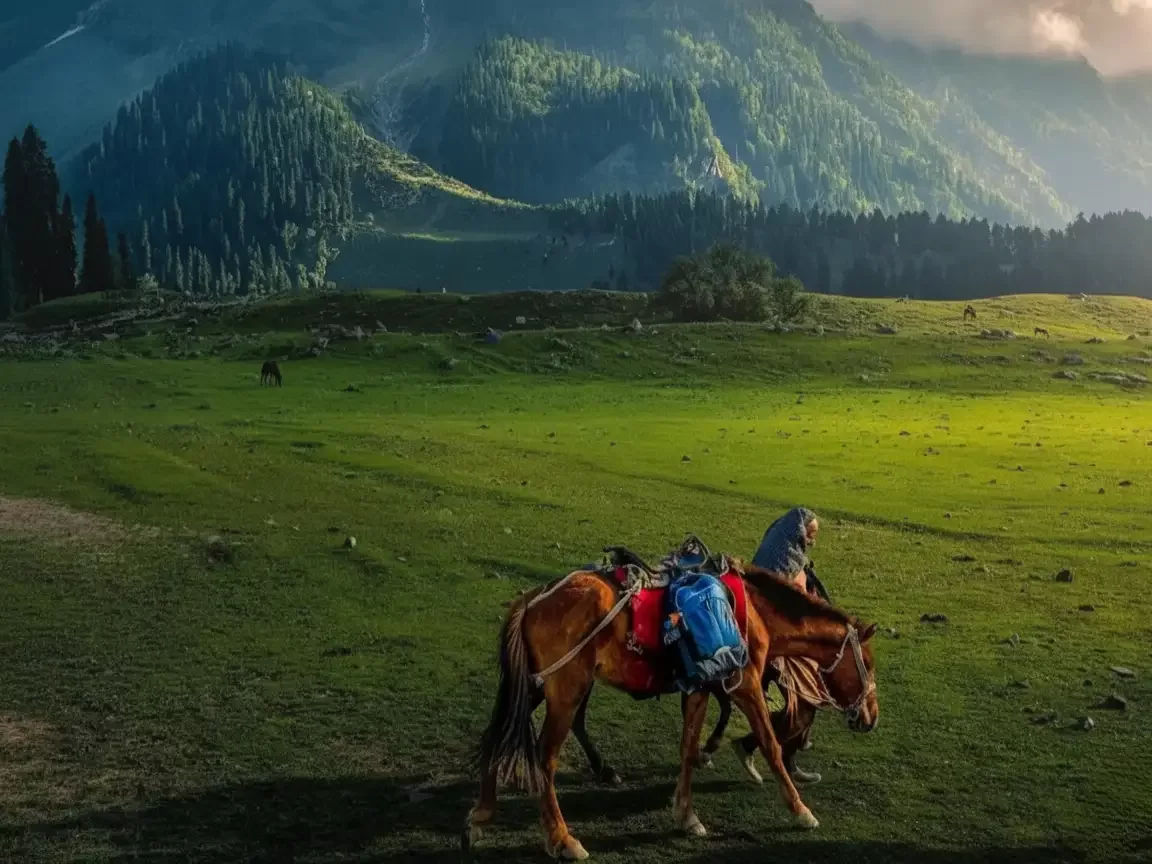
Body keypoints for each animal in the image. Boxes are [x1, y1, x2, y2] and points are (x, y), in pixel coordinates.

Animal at [464, 559, 879, 860]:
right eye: (870, 665)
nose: (871, 716)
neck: (755, 613)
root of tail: (534, 598)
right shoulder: (745, 685)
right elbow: (770, 745)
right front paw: (801, 811)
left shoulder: (700, 689)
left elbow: (688, 749)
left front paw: (687, 816)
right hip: (567, 691)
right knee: (545, 757)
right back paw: (562, 839)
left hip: (534, 685)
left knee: (496, 731)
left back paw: (483, 812)